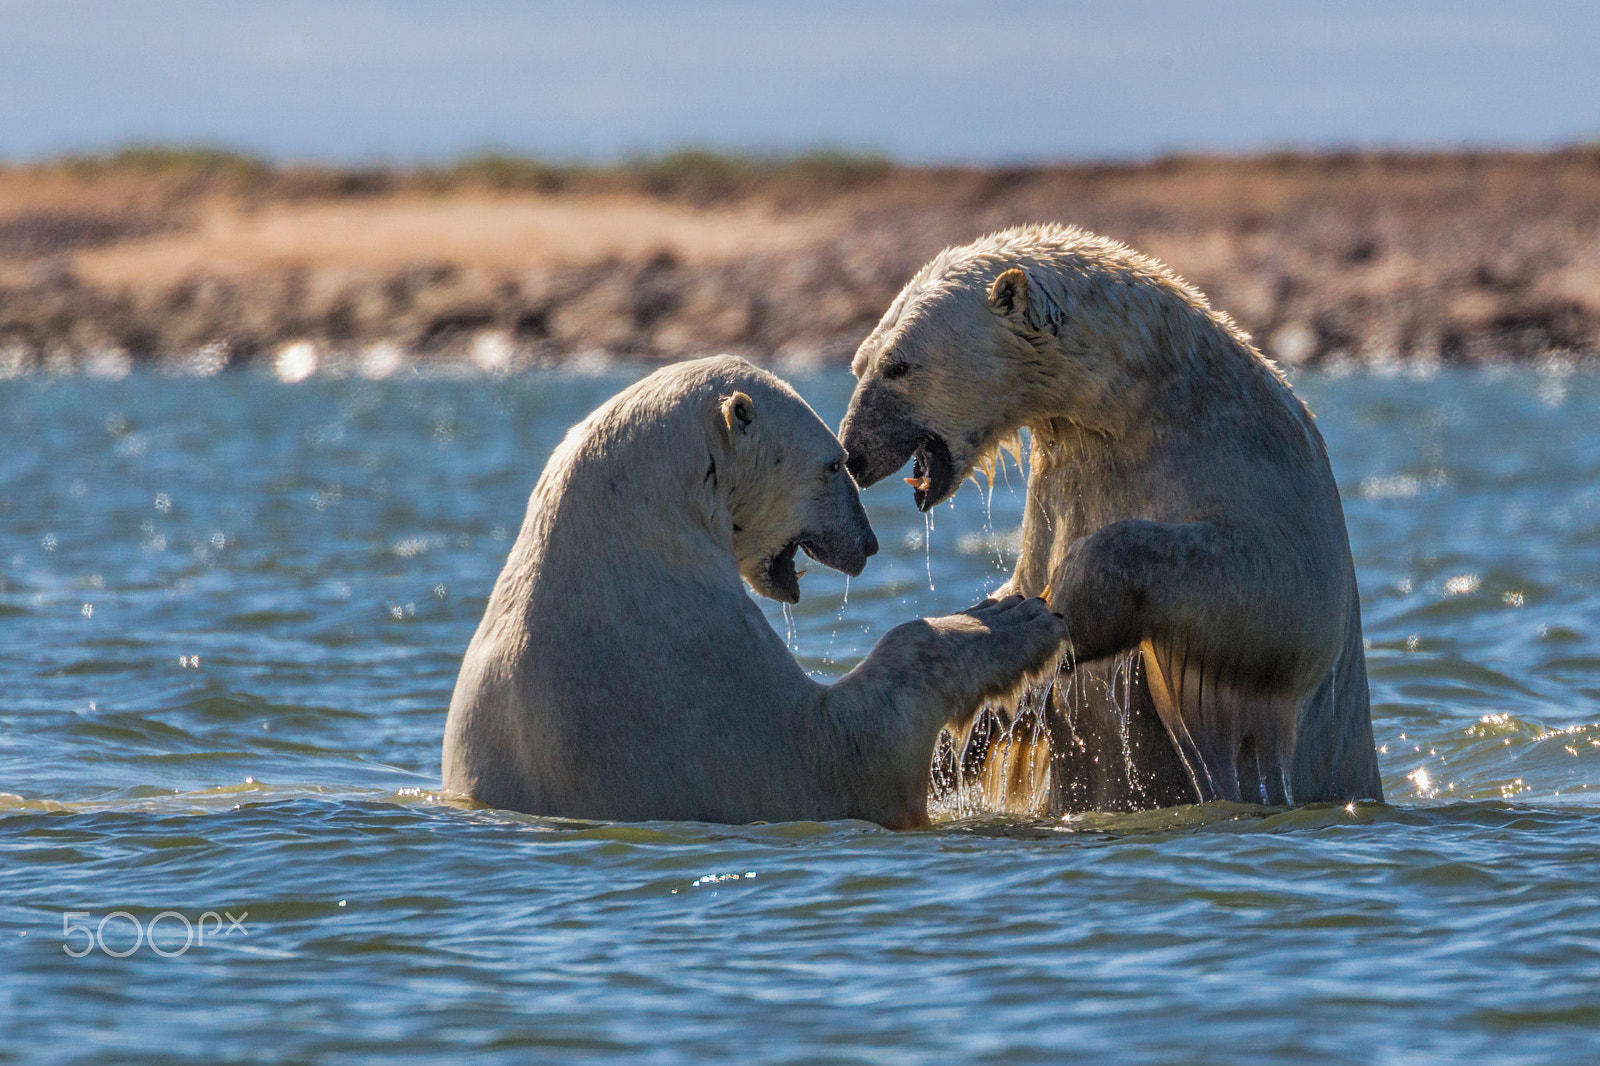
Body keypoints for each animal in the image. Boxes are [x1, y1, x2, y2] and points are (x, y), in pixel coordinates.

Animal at [442, 355, 1067, 828]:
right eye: (835, 463)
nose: (867, 543)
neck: (633, 536)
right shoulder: (690, 671)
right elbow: (849, 746)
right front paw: (1014, 617)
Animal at [838, 224, 1384, 813]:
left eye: (898, 366)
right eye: (860, 362)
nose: (853, 453)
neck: (1143, 401)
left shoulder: (1260, 461)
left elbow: (1292, 600)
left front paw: (1067, 606)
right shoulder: (1061, 485)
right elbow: (1026, 580)